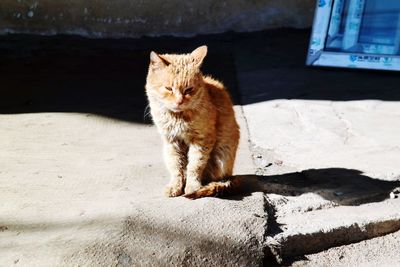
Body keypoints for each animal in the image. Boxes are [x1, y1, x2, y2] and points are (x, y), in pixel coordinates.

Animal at [145, 46, 239, 200]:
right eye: (169, 88)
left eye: (189, 89)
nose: (179, 101)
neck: (178, 117)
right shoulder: (171, 141)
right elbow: (176, 167)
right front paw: (175, 186)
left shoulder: (202, 140)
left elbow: (195, 165)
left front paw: (192, 186)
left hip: (222, 155)